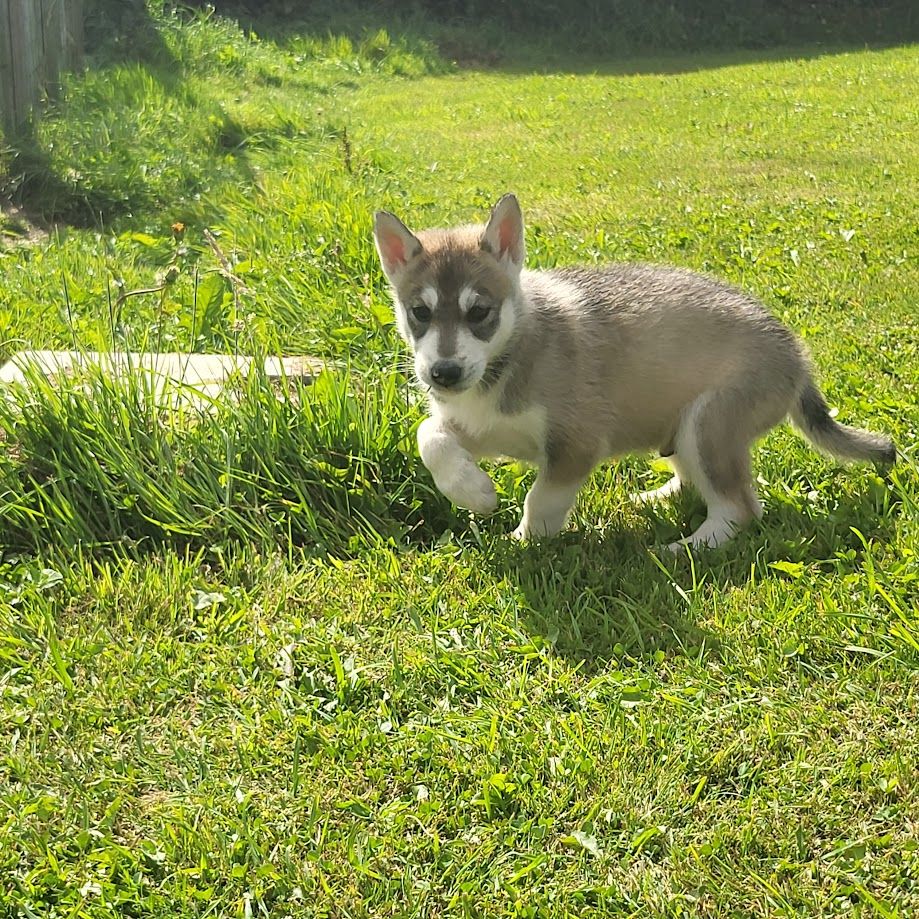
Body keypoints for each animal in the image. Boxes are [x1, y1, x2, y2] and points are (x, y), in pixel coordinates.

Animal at [372, 194, 892, 548]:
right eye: (420, 313)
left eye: (479, 312)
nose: (443, 374)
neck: (510, 354)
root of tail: (796, 354)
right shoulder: (481, 427)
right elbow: (429, 435)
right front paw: (472, 491)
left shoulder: (575, 444)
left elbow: (541, 498)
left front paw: (524, 541)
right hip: (680, 427)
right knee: (693, 480)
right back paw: (654, 499)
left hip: (709, 424)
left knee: (741, 507)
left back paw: (689, 548)